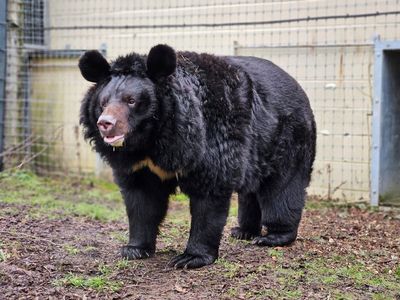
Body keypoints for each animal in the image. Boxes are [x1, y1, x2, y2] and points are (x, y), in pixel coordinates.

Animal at [78, 45, 316, 270]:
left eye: (131, 101)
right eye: (103, 102)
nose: (105, 123)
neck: (151, 141)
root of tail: (298, 87)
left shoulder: (210, 140)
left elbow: (209, 197)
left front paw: (190, 258)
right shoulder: (139, 166)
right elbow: (141, 201)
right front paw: (134, 249)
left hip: (288, 138)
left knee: (282, 188)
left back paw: (273, 236)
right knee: (250, 191)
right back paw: (243, 231)